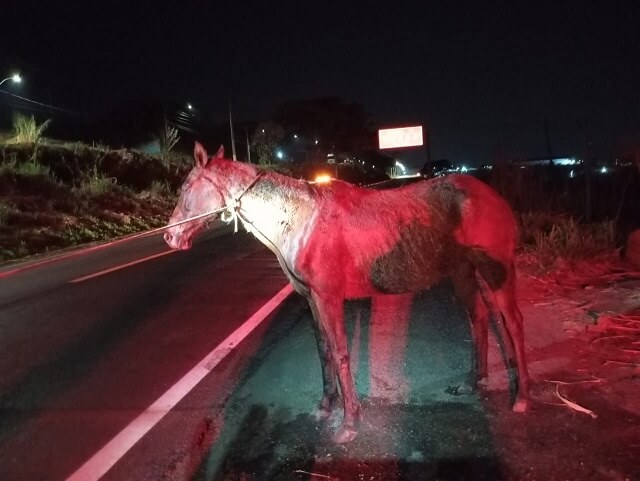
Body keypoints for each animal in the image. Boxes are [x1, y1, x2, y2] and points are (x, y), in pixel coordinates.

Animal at [164, 142, 531, 443]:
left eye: (186, 187)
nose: (170, 237)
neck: (300, 218)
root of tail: (494, 197)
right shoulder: (311, 299)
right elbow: (324, 350)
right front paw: (326, 404)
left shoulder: (329, 298)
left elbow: (340, 352)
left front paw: (350, 421)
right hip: (461, 271)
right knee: (478, 317)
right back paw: (473, 382)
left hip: (496, 270)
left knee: (513, 322)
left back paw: (522, 396)